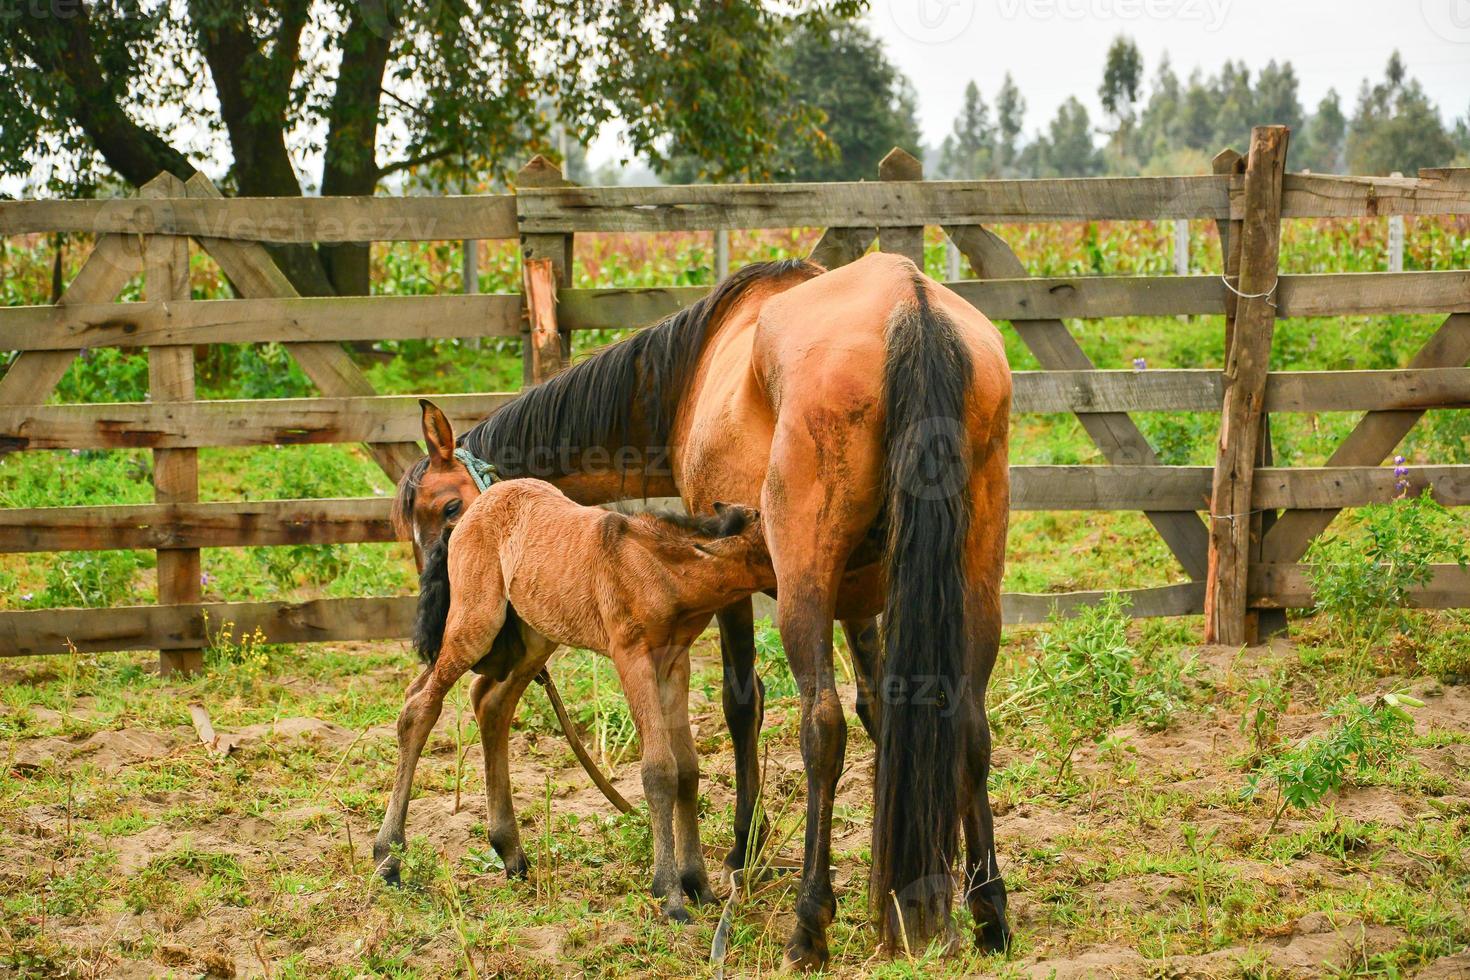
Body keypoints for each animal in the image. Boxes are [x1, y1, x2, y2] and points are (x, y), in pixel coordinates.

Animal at [373, 478, 776, 922]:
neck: (661, 568)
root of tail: (468, 514)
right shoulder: (631, 655)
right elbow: (659, 770)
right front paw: (670, 896)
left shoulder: (674, 662)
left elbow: (686, 769)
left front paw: (699, 885)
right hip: (475, 626)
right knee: (419, 706)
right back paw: (388, 858)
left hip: (535, 636)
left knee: (490, 702)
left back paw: (509, 851)